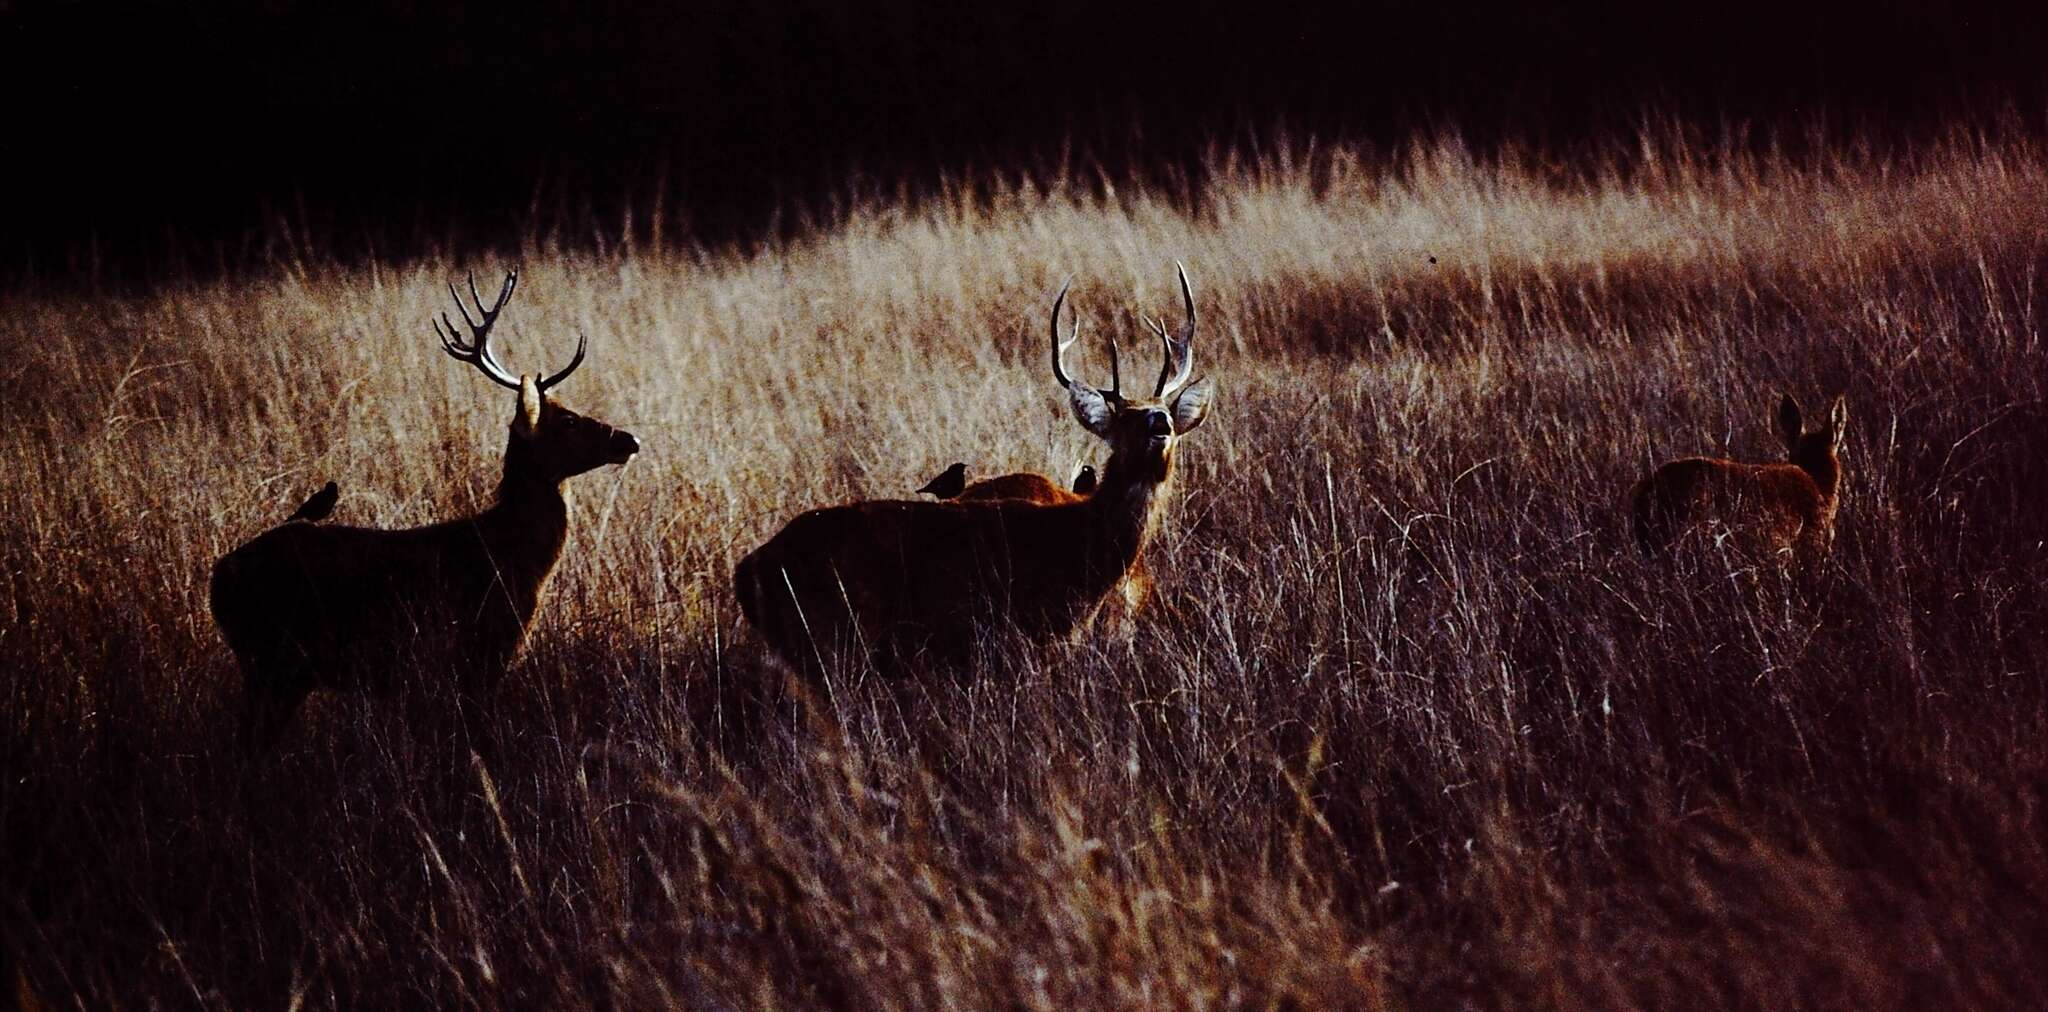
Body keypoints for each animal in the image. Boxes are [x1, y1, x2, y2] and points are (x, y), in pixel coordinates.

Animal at [209, 270, 630, 749]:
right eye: (569, 421)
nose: (628, 439)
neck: (511, 554)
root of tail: (217, 578)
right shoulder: (478, 649)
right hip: (274, 658)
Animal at [737, 261, 1204, 680]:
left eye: (1164, 408)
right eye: (1124, 418)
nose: (1160, 423)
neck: (1079, 543)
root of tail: (746, 571)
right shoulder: (1034, 631)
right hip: (835, 638)